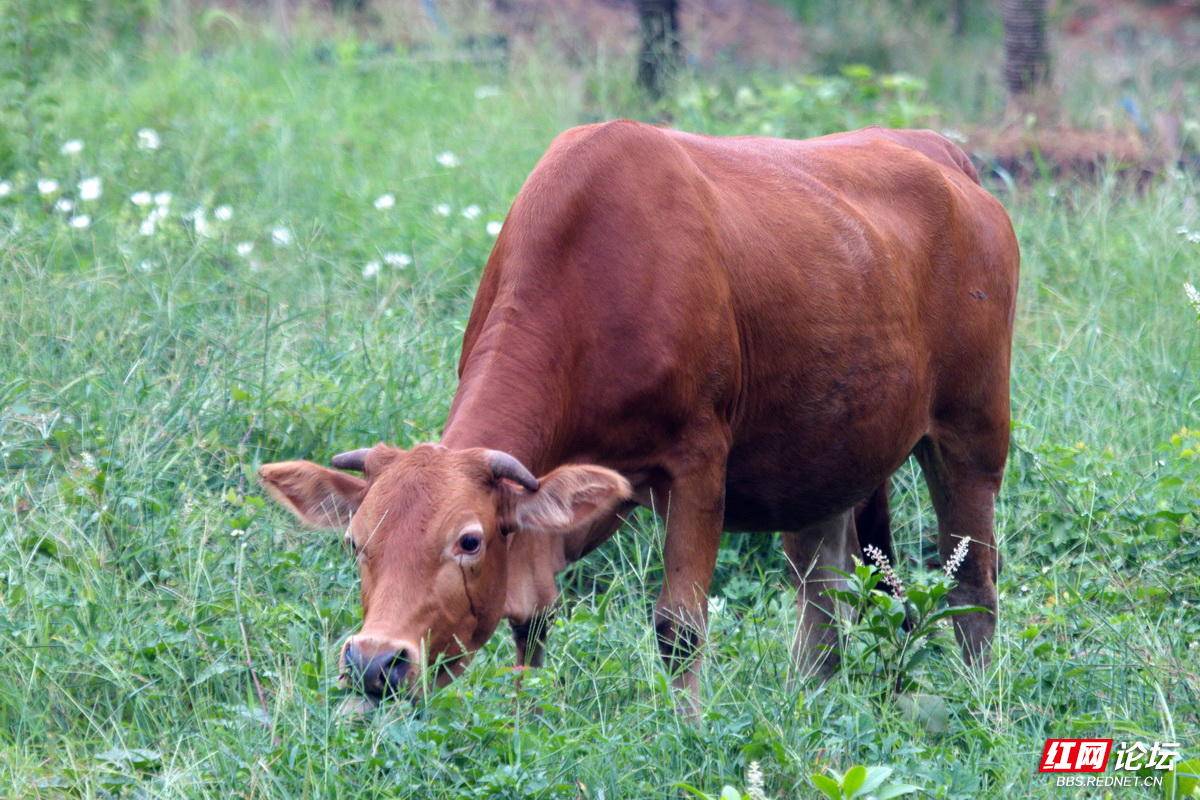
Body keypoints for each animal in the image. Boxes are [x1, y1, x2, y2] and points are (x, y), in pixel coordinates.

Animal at [258, 120, 1017, 714]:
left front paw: (688, 727)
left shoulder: (698, 462)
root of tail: (942, 153)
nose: (374, 662)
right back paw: (813, 697)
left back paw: (979, 705)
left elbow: (678, 627)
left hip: (972, 432)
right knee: (821, 584)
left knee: (972, 582)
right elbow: (533, 619)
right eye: (356, 542)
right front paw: (522, 720)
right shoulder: (574, 489)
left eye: (468, 541)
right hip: (823, 454)